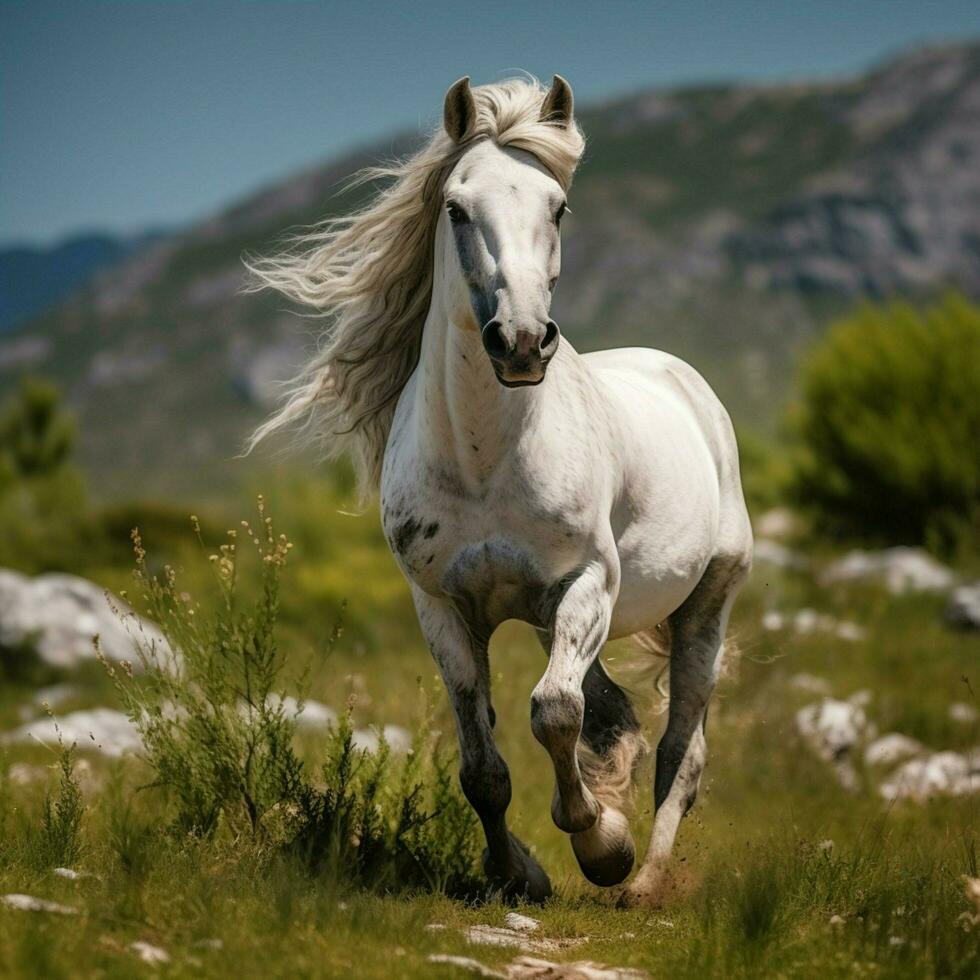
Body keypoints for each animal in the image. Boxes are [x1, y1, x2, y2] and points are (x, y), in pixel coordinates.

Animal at [245, 72, 752, 908]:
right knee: (617, 717)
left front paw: (600, 845)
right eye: (456, 207)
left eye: (559, 206)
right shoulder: (444, 607)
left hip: (703, 607)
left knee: (684, 748)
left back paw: (644, 879)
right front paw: (521, 872)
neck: (487, 460)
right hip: (559, 622)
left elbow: (551, 713)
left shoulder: (587, 581)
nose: (519, 342)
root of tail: (684, 380)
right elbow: (483, 766)